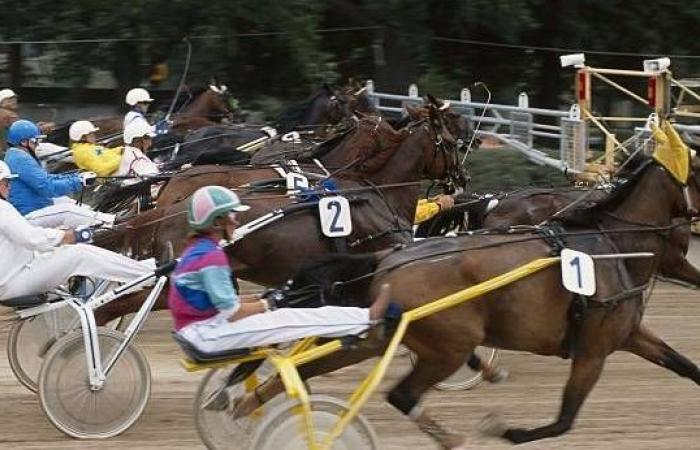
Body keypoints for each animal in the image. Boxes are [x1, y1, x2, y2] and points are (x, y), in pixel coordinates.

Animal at [234, 154, 700, 446]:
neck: (612, 245)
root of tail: (391, 262)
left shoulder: (629, 334)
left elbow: (686, 366)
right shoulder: (592, 350)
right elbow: (563, 421)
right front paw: (505, 431)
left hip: (377, 337)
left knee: (305, 369)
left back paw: (241, 406)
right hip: (449, 346)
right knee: (402, 395)